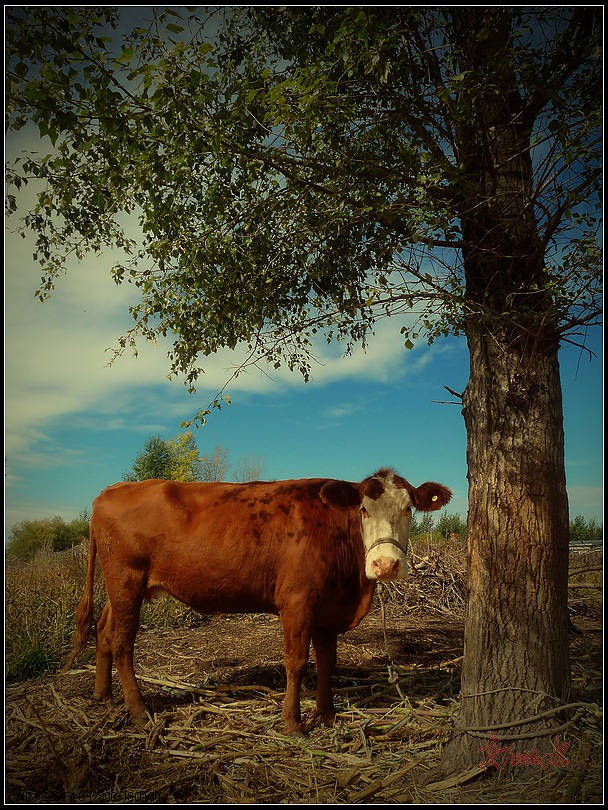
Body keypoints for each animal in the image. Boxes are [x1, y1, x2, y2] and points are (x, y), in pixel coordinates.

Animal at [63, 464, 452, 728]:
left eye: (408, 509)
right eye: (363, 510)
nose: (385, 564)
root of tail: (110, 491)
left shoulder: (328, 609)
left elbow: (327, 662)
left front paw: (326, 715)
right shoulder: (296, 602)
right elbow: (297, 662)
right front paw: (293, 723)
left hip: (124, 587)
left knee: (104, 630)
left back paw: (103, 695)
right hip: (126, 580)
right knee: (123, 643)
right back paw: (139, 710)